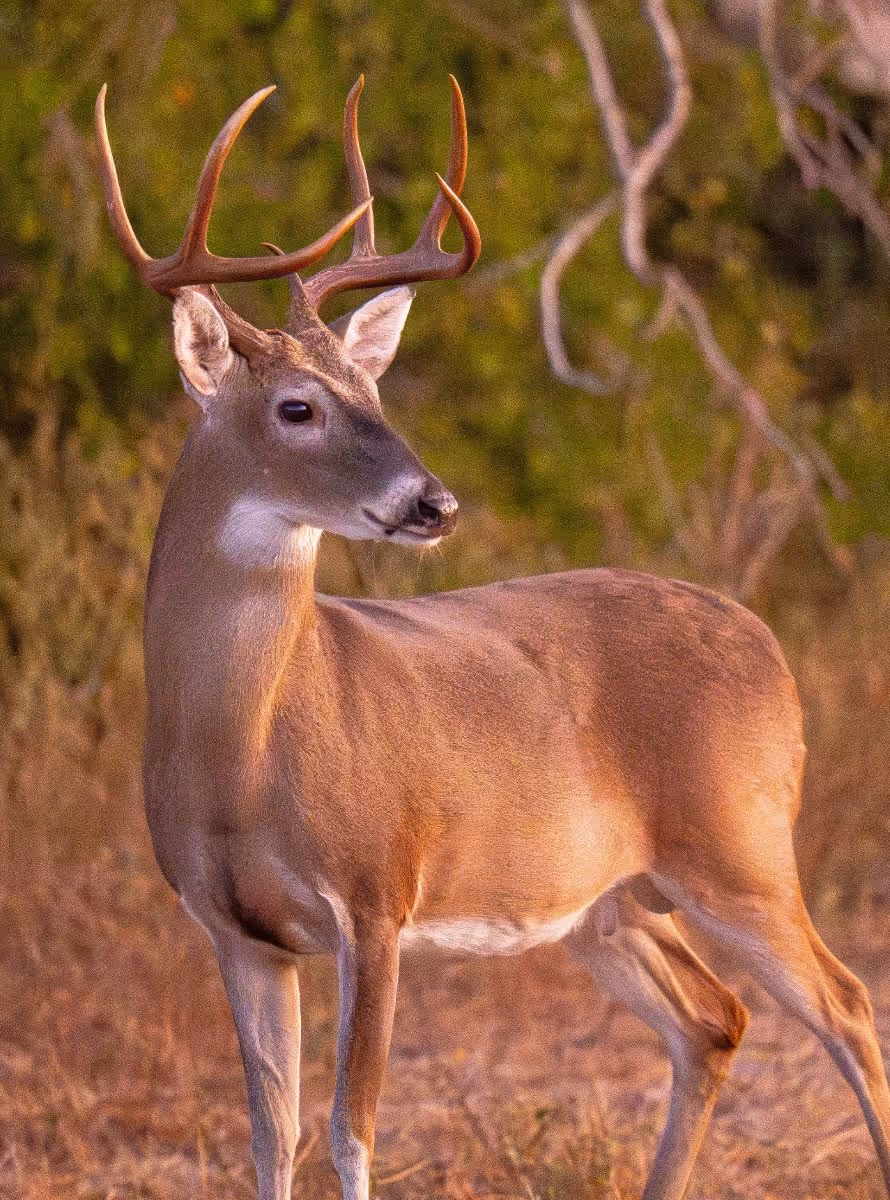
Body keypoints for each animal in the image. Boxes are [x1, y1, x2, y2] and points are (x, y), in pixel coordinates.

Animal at [94, 75, 890, 1200]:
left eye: (375, 393)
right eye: (297, 407)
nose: (434, 503)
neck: (241, 753)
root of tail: (766, 642)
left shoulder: (376, 892)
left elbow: (352, 1128)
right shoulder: (235, 929)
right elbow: (270, 1134)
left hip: (740, 843)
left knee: (847, 1006)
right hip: (610, 901)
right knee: (715, 1017)